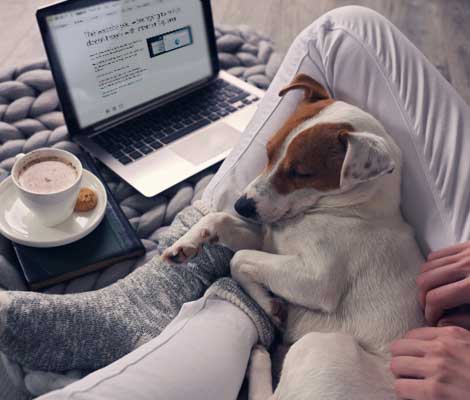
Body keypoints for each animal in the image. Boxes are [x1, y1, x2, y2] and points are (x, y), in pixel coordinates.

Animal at [163, 73, 424, 398]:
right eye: (268, 151)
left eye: (301, 173)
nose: (241, 205)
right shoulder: (269, 242)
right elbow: (220, 221)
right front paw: (186, 245)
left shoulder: (317, 280)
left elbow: (240, 259)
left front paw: (268, 305)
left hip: (320, 346)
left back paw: (259, 359)